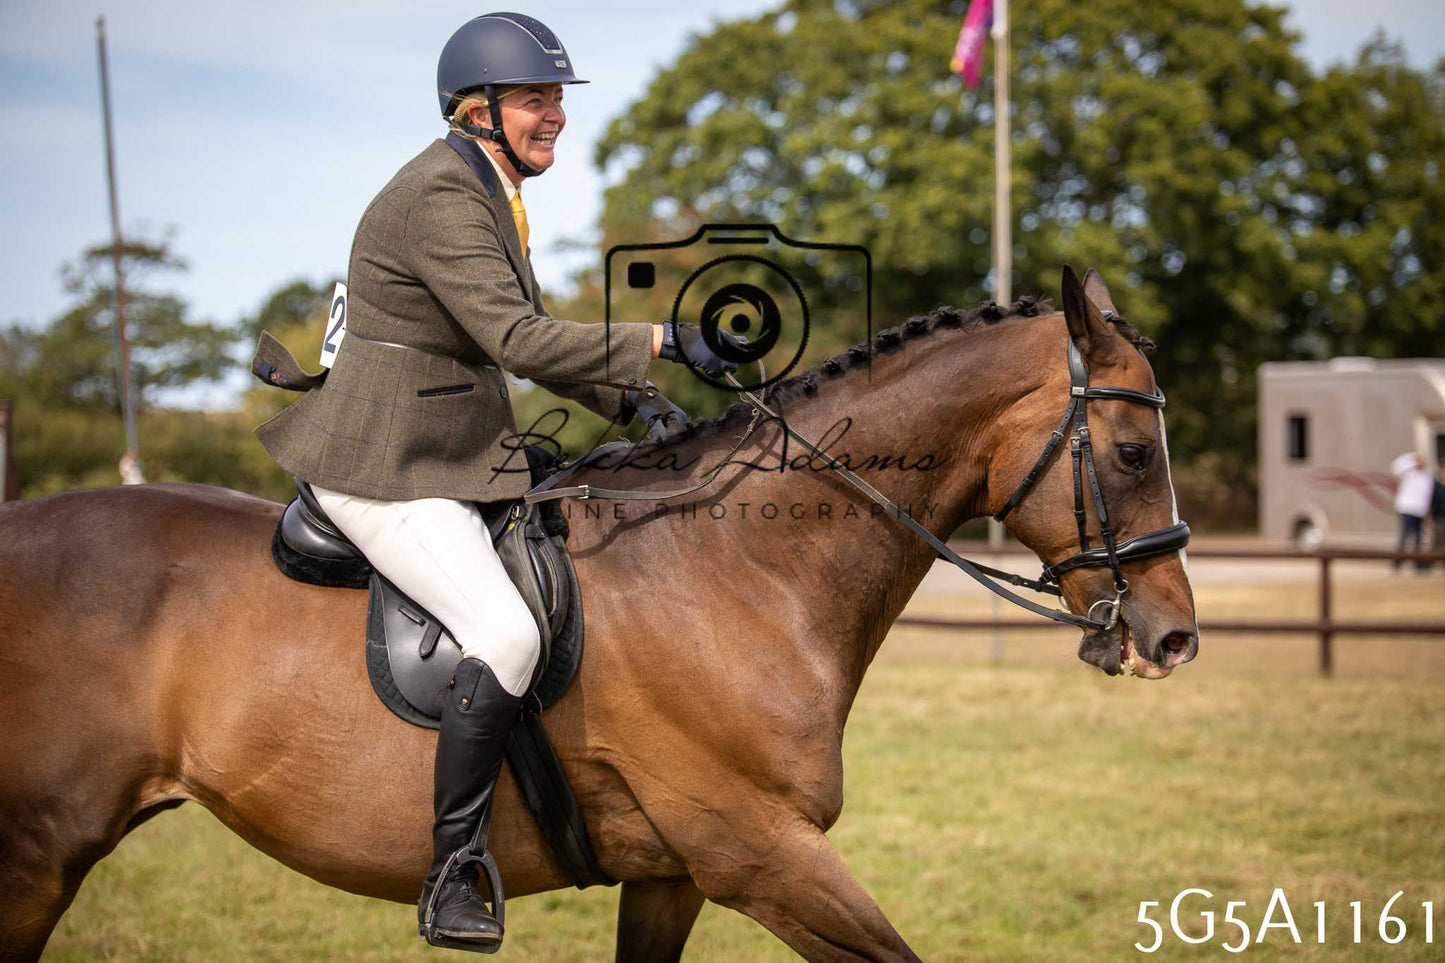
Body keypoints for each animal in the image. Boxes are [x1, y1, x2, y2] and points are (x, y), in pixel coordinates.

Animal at [0, 268, 1197, 962]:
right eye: (1134, 452)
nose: (1172, 637)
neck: (737, 568)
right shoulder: (761, 851)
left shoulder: (673, 874)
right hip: (38, 852)